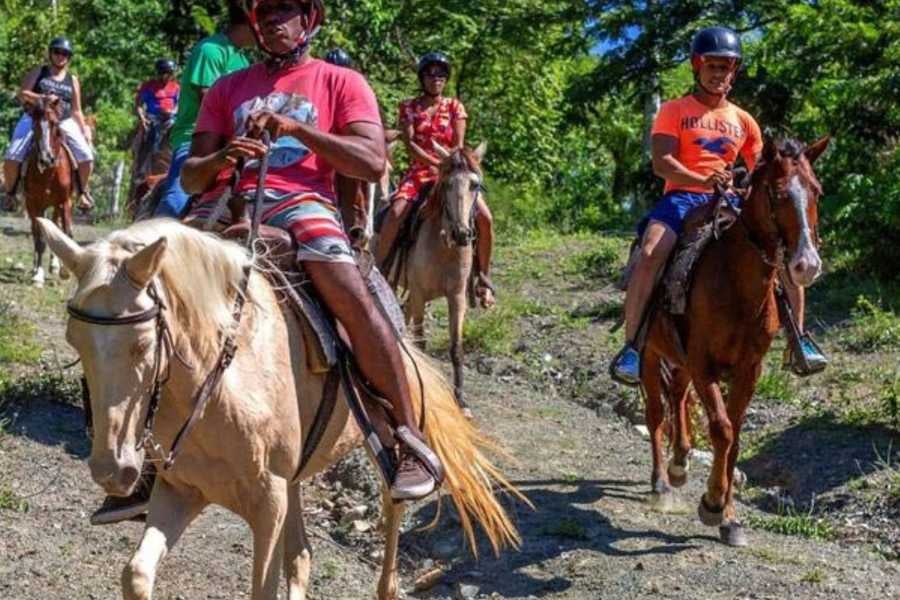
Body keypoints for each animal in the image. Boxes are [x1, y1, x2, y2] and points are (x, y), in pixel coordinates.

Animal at [24, 95, 75, 288]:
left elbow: (65, 233)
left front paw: (65, 271)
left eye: (54, 123)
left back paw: (55, 265)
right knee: (36, 231)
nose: (46, 158)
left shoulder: (65, 202)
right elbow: (39, 239)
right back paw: (36, 267)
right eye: (34, 125)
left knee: (55, 227)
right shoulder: (34, 203)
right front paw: (38, 275)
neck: (48, 173)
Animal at [38, 217, 524, 600]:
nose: (112, 471)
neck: (222, 384)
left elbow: (263, 587)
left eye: (142, 345)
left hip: (385, 441)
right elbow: (136, 575)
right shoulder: (180, 491)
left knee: (391, 516)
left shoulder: (267, 505)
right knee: (303, 555)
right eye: (74, 342)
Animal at [640, 137, 828, 548]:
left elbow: (736, 437)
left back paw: (679, 464)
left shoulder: (748, 369)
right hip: (650, 352)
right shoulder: (703, 364)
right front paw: (711, 504)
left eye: (817, 191)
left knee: (678, 396)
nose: (806, 264)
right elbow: (722, 429)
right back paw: (661, 483)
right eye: (776, 192)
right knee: (657, 412)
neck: (738, 286)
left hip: (681, 361)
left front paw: (729, 517)